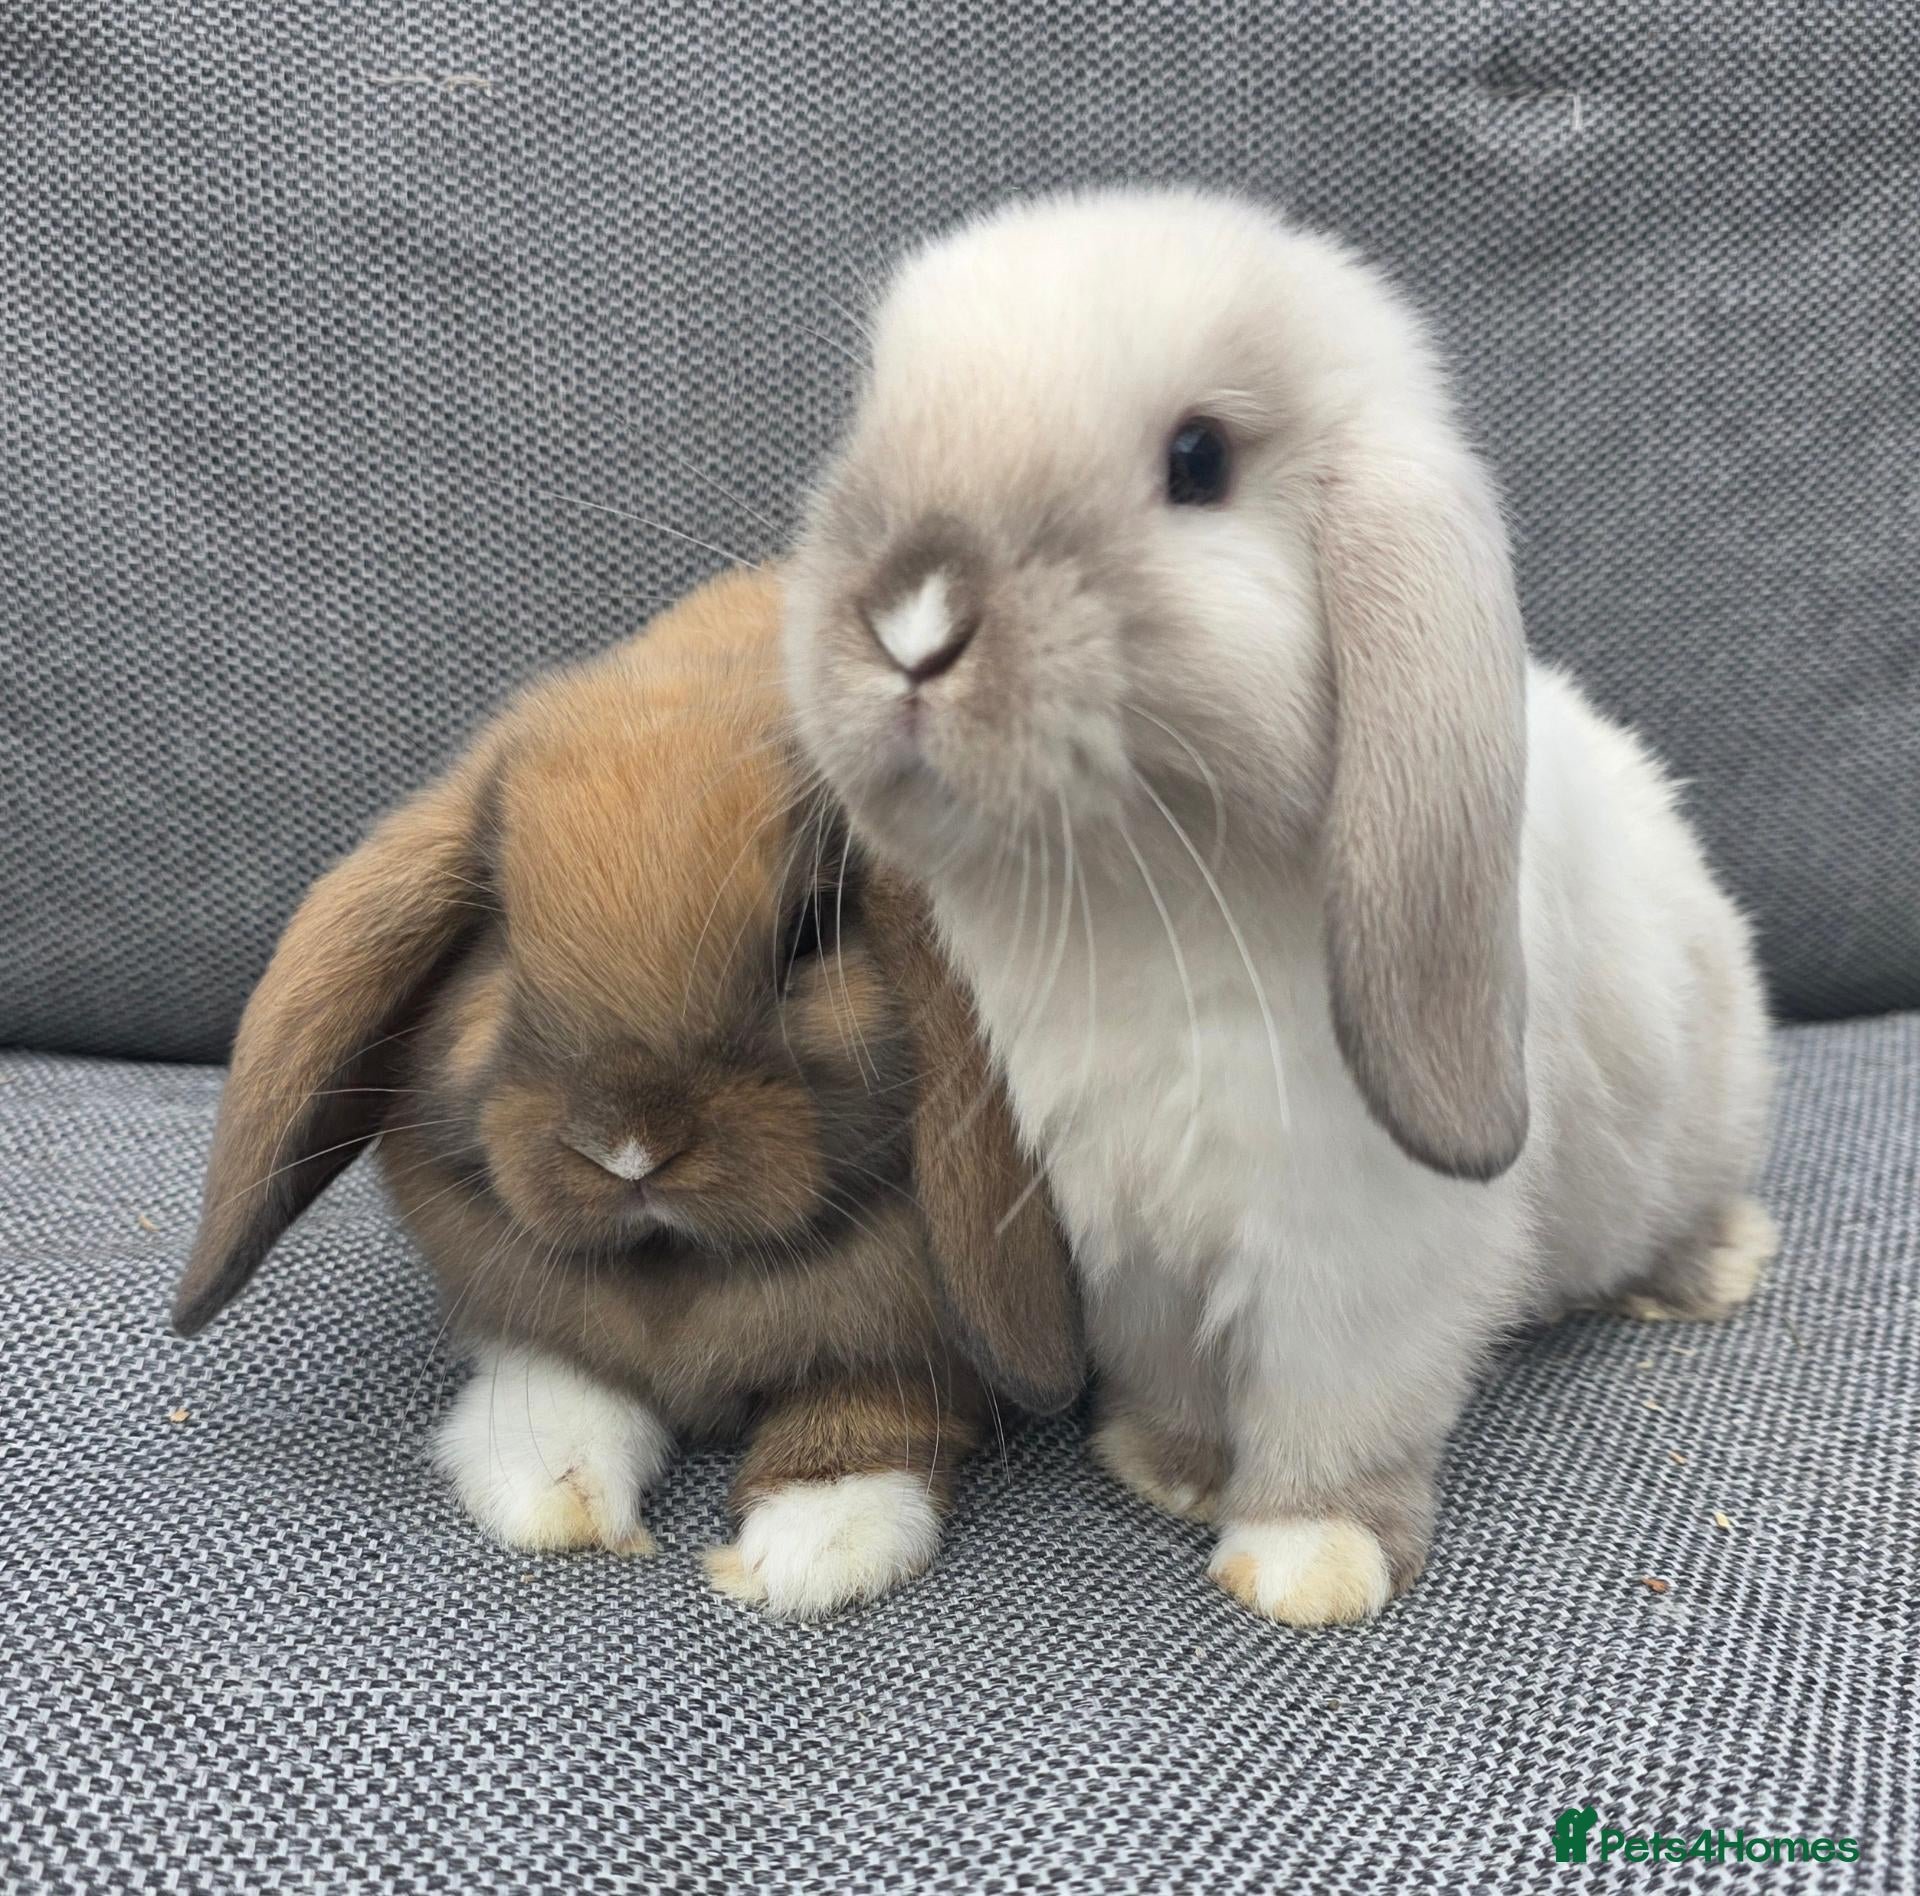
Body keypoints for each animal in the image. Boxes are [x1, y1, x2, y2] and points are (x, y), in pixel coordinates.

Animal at [170, 567, 1081, 1619]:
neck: (677, 1270)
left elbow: (876, 1405)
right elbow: (568, 1381)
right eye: (501, 934)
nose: (632, 1148)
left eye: (809, 934)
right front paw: (548, 1489)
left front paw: (813, 1544)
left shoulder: (922, 1338)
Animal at [781, 187, 1776, 1626]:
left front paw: (1307, 1563)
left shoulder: (1358, 1257)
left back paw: (1705, 1273)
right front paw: (1172, 1470)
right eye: (877, 415)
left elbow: (1336, 1409)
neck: (1139, 901)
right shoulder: (1127, 1237)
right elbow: (1178, 1372)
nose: (911, 621)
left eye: (1199, 461)